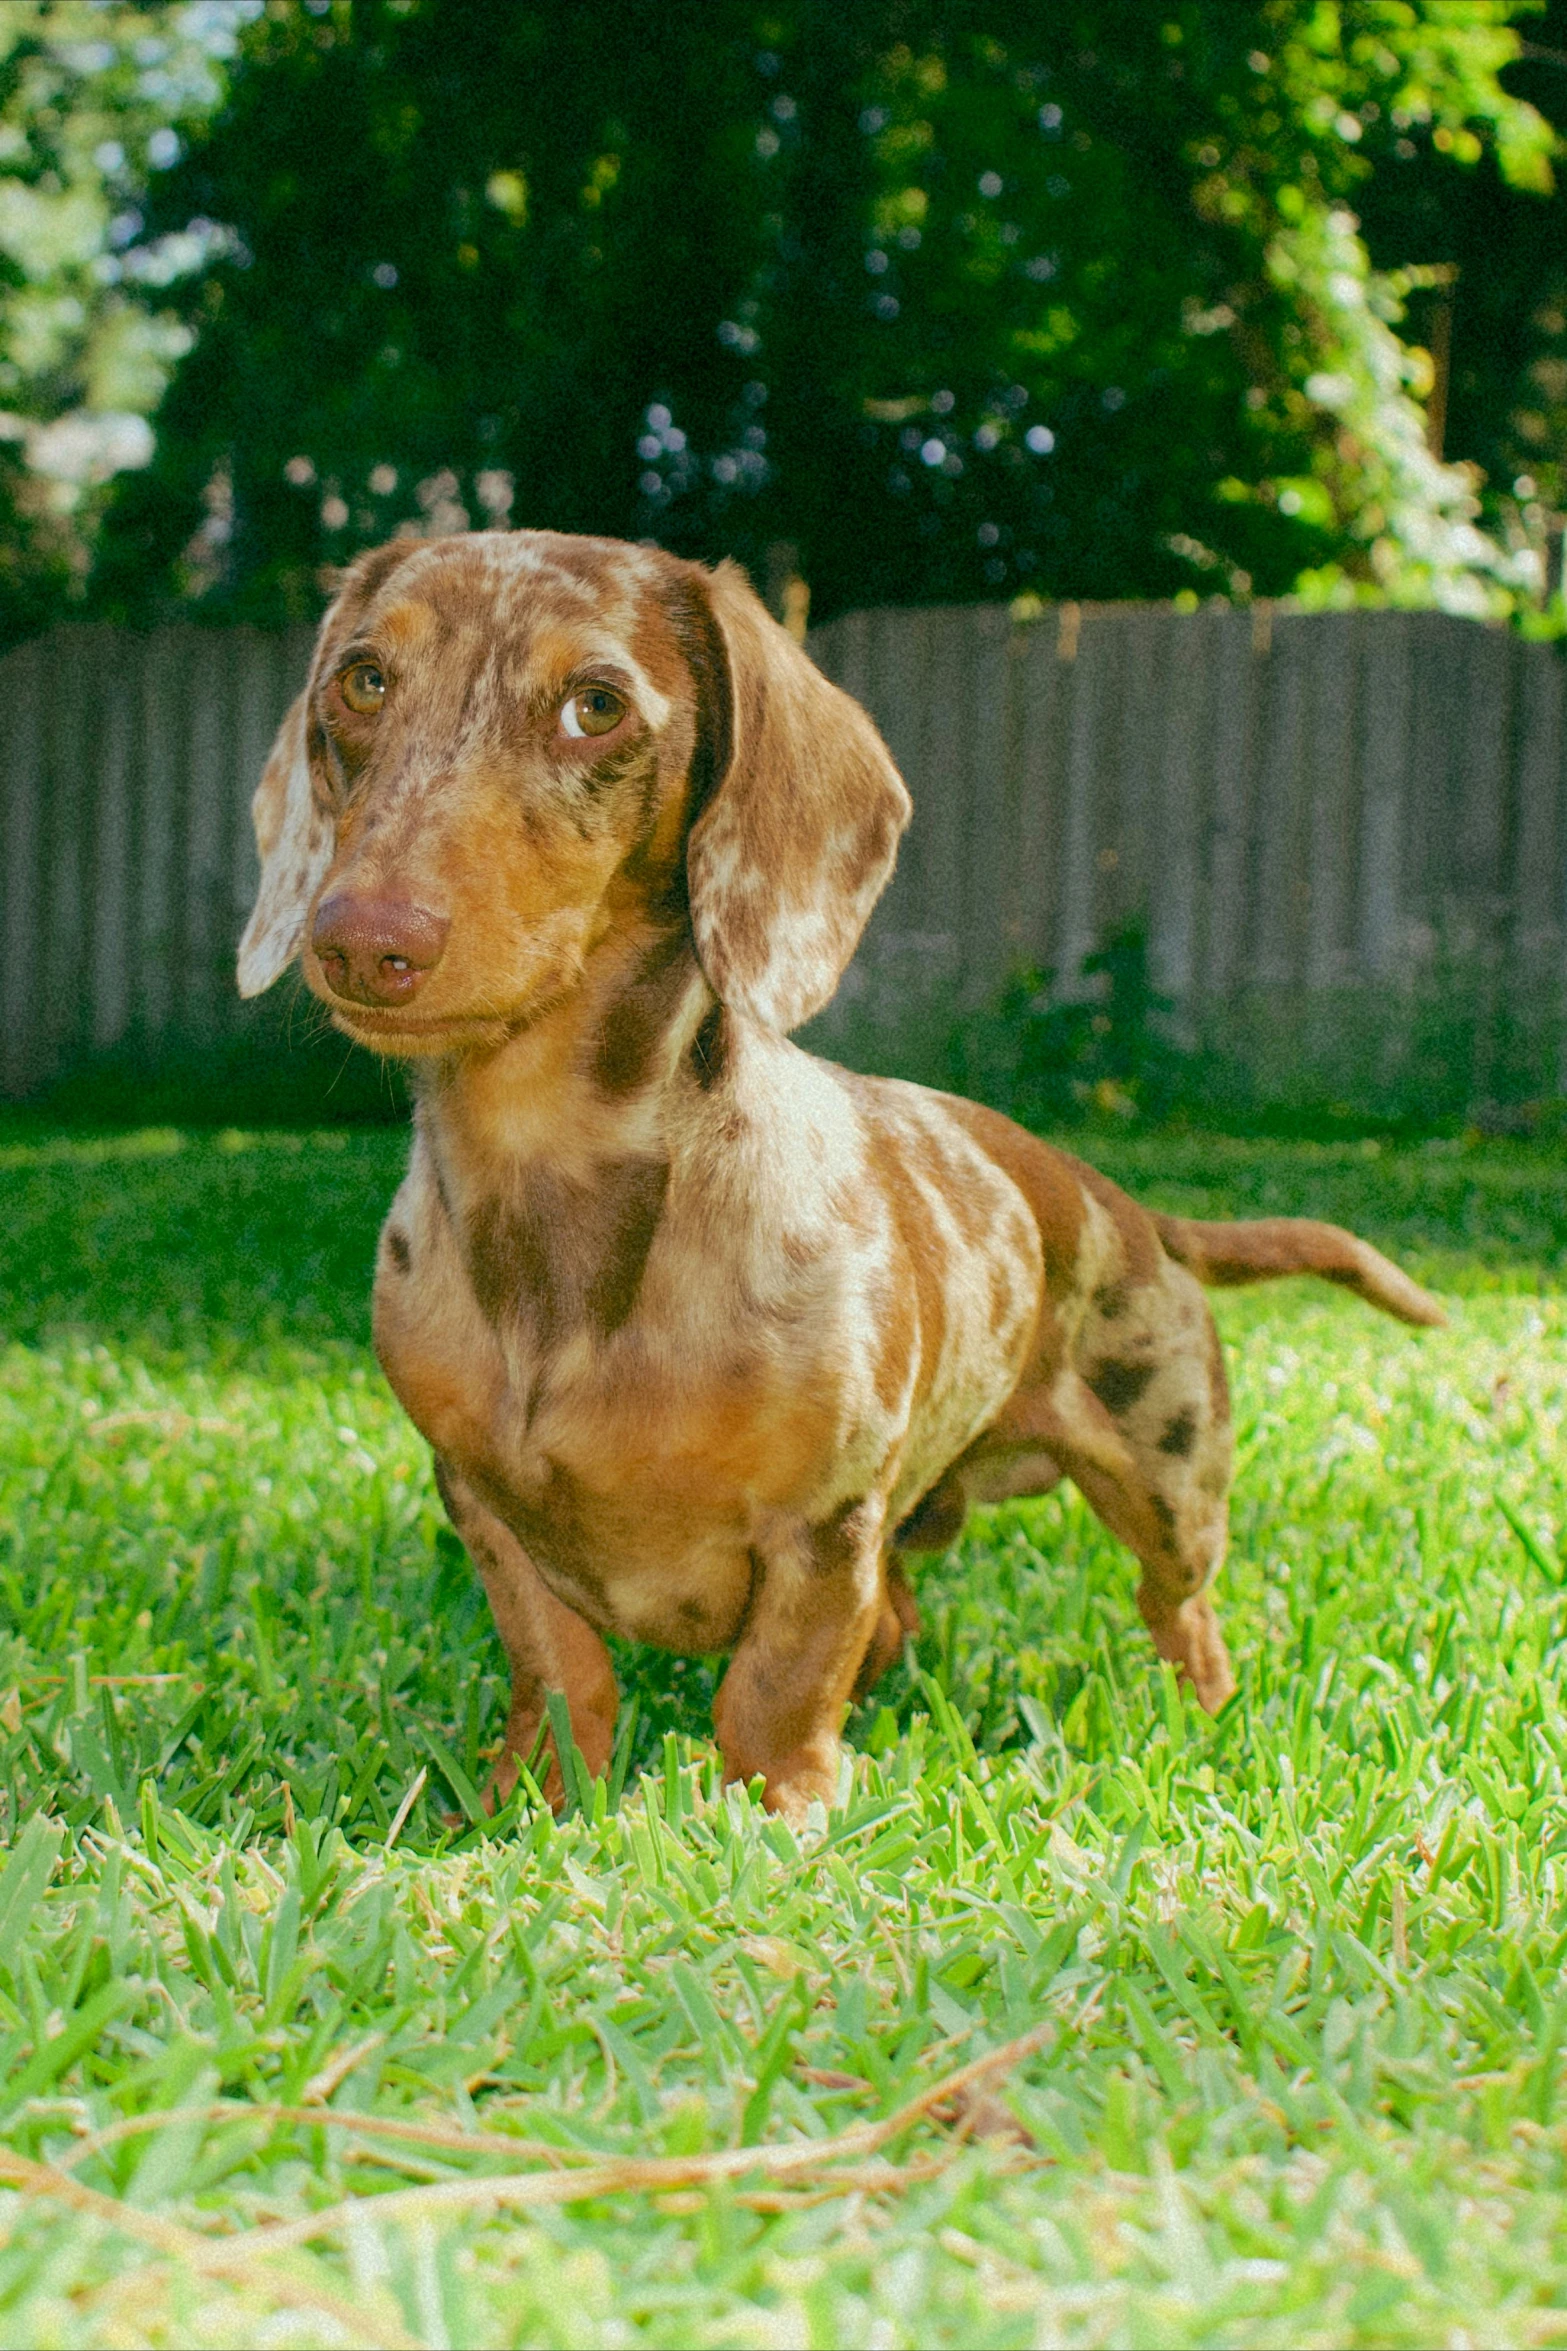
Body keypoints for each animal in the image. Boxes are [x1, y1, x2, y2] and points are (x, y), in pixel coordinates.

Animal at [236, 540, 1447, 1824]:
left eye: (595, 705)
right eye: (363, 680)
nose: (361, 941)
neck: (555, 1182)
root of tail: (1118, 1204)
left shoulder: (825, 1523)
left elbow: (774, 1685)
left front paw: (779, 1812)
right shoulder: (481, 1504)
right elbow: (561, 1670)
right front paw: (537, 1800)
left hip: (1168, 1485)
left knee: (1178, 1608)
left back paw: (1201, 1716)